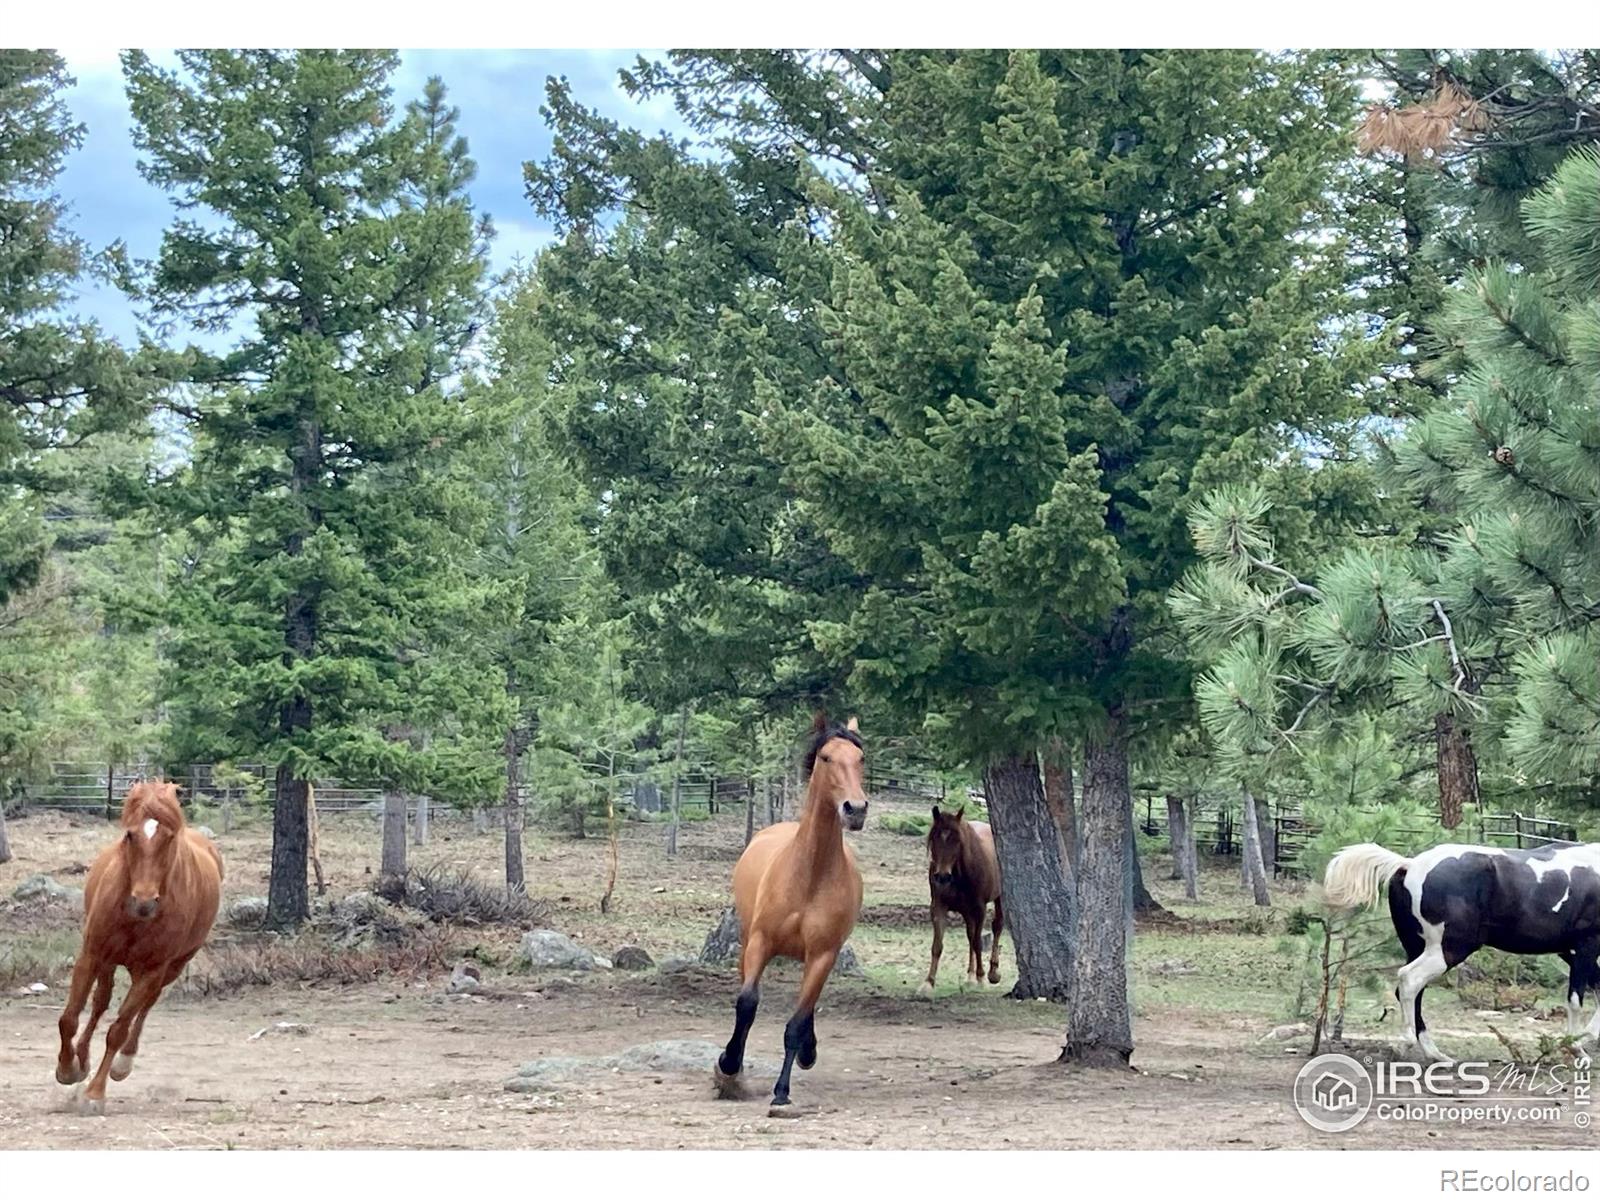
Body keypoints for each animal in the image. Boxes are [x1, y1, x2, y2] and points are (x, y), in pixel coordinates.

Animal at [54, 784, 222, 1113]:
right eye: (130, 835)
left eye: (169, 837)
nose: (144, 902)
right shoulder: (91, 955)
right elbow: (69, 1018)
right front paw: (68, 1069)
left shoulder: (152, 970)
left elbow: (118, 1030)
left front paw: (95, 1093)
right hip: (109, 963)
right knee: (100, 1003)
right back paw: (82, 1059)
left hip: (172, 967)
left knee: (143, 1008)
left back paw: (123, 1063)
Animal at [713, 713, 864, 1120]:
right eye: (827, 757)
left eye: (861, 758)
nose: (855, 809)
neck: (809, 875)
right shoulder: (761, 943)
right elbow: (747, 1004)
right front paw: (728, 1065)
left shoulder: (824, 954)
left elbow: (796, 1023)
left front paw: (781, 1092)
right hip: (746, 941)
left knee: (807, 1007)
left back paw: (808, 1053)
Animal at [921, 809, 1004, 998]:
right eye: (934, 838)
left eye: (957, 840)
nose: (942, 877)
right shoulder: (938, 907)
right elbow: (937, 946)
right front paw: (928, 982)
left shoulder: (980, 909)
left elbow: (978, 943)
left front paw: (982, 978)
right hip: (967, 911)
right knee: (970, 935)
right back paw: (970, 975)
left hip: (999, 899)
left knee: (996, 927)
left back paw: (992, 972)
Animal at [1324, 838, 1600, 1068]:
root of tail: (1410, 865)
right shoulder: (1585, 945)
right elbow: (1576, 999)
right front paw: (1577, 1048)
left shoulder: (1570, 951)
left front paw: (1587, 1039)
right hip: (1448, 950)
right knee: (1410, 981)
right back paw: (1405, 1044)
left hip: (1417, 948)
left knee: (1410, 991)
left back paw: (1436, 1054)